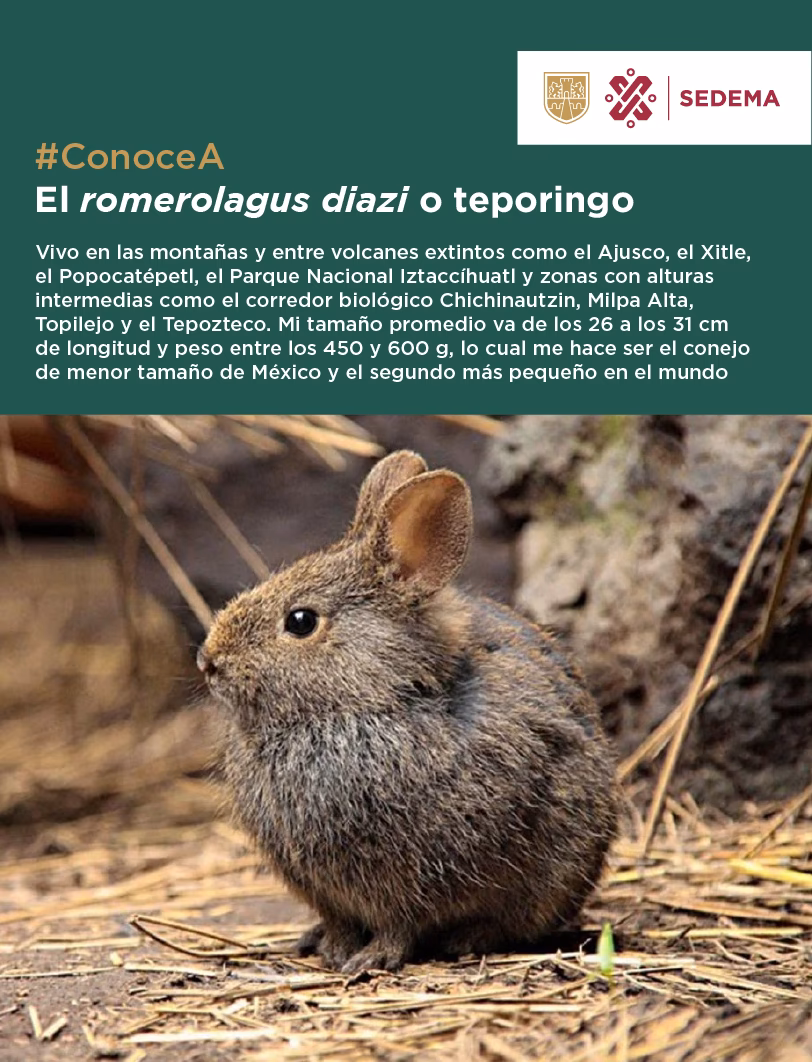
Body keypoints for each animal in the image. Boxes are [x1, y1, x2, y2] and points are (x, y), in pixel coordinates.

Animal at [198, 449, 618, 975]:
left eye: (300, 621)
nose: (208, 660)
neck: (370, 700)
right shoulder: (321, 886)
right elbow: (338, 918)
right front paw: (332, 945)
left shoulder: (412, 877)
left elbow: (399, 925)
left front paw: (367, 959)